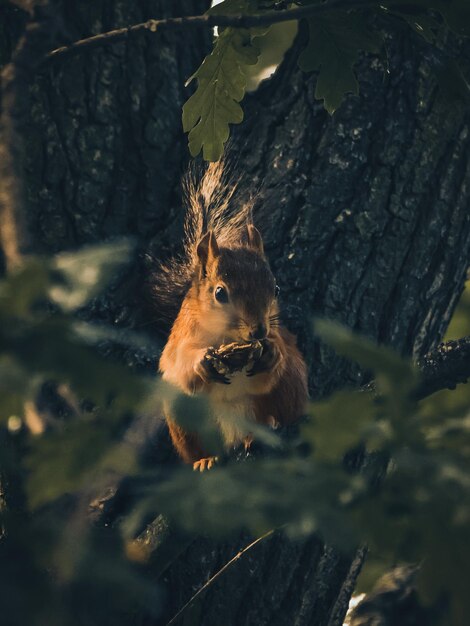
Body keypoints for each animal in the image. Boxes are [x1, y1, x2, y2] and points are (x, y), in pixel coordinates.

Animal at [155, 163, 308, 466]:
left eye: (275, 287)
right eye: (220, 293)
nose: (259, 331)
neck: (227, 336)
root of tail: (233, 435)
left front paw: (271, 352)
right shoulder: (180, 336)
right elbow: (179, 363)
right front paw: (201, 362)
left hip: (290, 386)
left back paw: (267, 427)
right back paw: (205, 460)